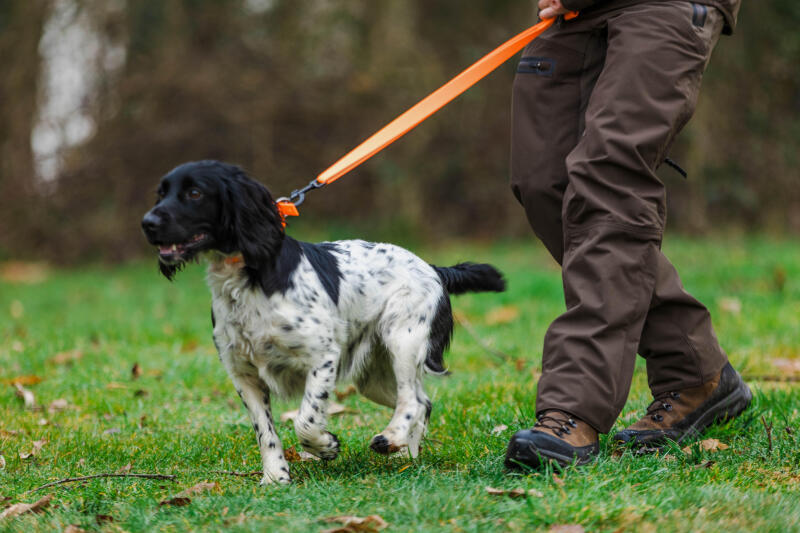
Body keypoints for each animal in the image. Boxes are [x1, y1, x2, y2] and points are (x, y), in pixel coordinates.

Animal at [140, 160, 504, 484]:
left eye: (195, 193)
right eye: (160, 193)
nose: (147, 222)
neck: (248, 281)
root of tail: (434, 268)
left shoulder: (323, 356)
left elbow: (306, 420)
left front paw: (326, 446)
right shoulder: (243, 374)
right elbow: (265, 431)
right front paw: (275, 477)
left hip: (404, 340)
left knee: (412, 400)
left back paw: (389, 438)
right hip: (373, 376)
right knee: (423, 401)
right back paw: (404, 452)